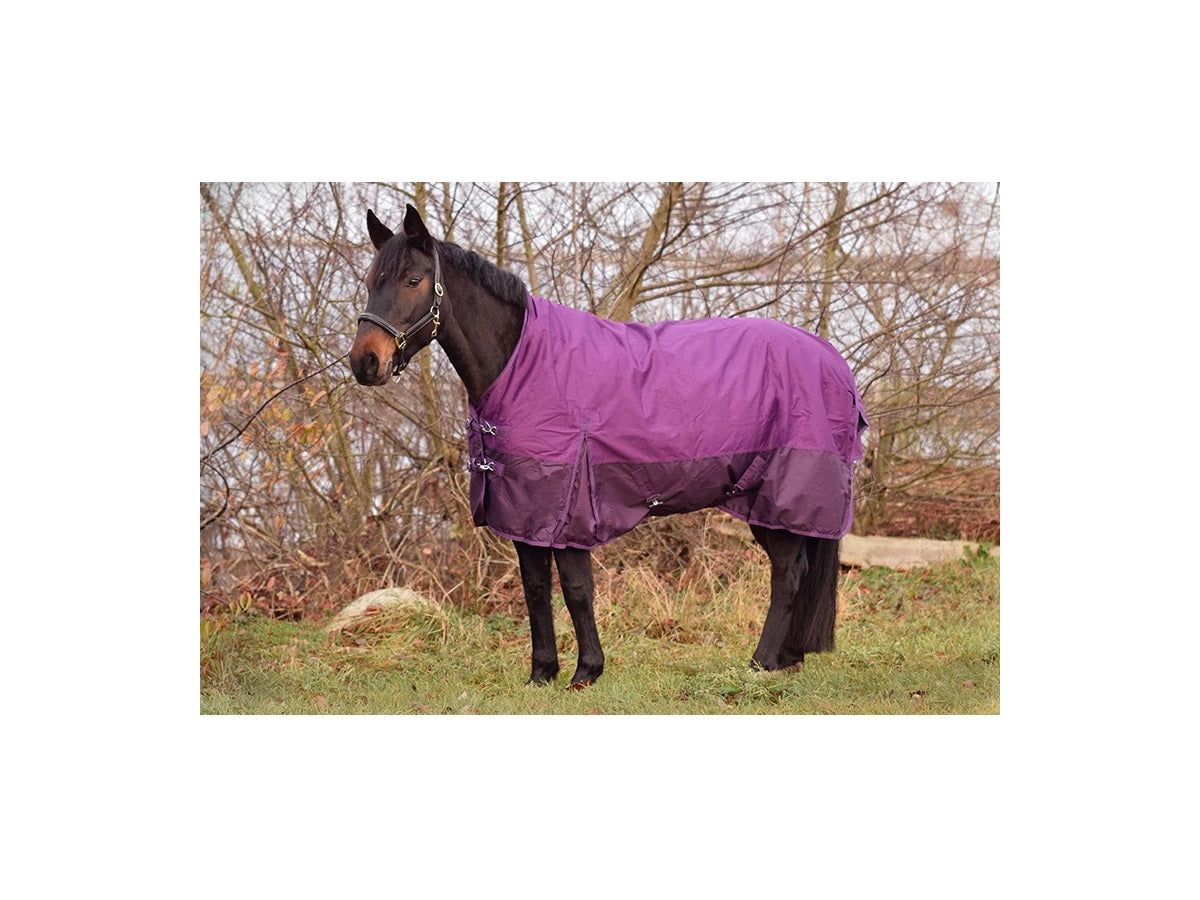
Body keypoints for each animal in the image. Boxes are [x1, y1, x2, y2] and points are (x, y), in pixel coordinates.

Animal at [349, 204, 867, 688]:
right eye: (371, 281)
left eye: (413, 280)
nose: (364, 362)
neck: (524, 363)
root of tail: (832, 360)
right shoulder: (524, 509)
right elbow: (535, 588)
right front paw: (542, 673)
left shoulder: (568, 506)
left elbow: (577, 588)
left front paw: (586, 673)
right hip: (765, 501)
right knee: (793, 569)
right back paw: (785, 660)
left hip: (783, 495)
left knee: (788, 573)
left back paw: (761, 663)